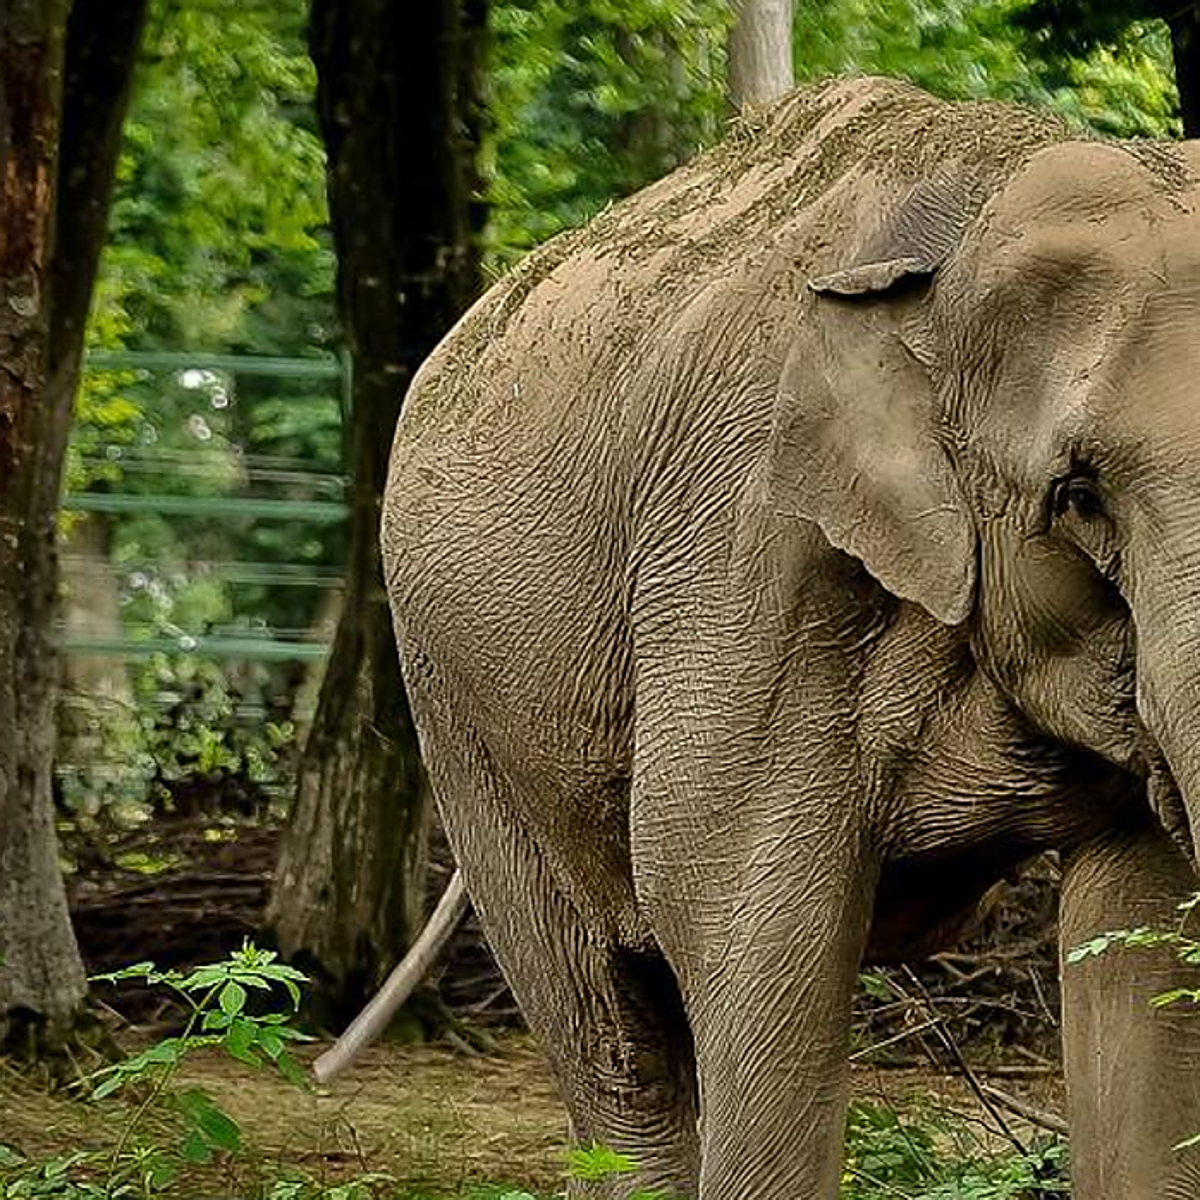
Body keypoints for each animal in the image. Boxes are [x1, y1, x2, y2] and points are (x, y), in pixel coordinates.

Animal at [380, 76, 1200, 1199]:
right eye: (1078, 495)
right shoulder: (746, 552)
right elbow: (743, 914)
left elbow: (1144, 932)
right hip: (460, 713)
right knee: (610, 1035)